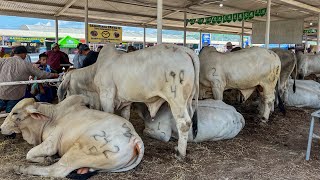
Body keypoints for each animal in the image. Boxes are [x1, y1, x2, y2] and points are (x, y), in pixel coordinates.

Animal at [0, 95, 144, 178]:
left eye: (15, 113)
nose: (1, 128)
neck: (51, 117)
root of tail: (135, 137)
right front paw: (48, 158)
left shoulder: (51, 144)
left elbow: (29, 154)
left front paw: (47, 158)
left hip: (80, 149)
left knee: (57, 170)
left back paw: (22, 168)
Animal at [58, 44, 199, 160]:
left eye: (67, 87)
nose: (66, 99)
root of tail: (185, 50)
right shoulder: (125, 102)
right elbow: (125, 119)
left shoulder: (106, 96)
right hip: (188, 100)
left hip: (176, 99)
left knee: (184, 123)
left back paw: (180, 153)